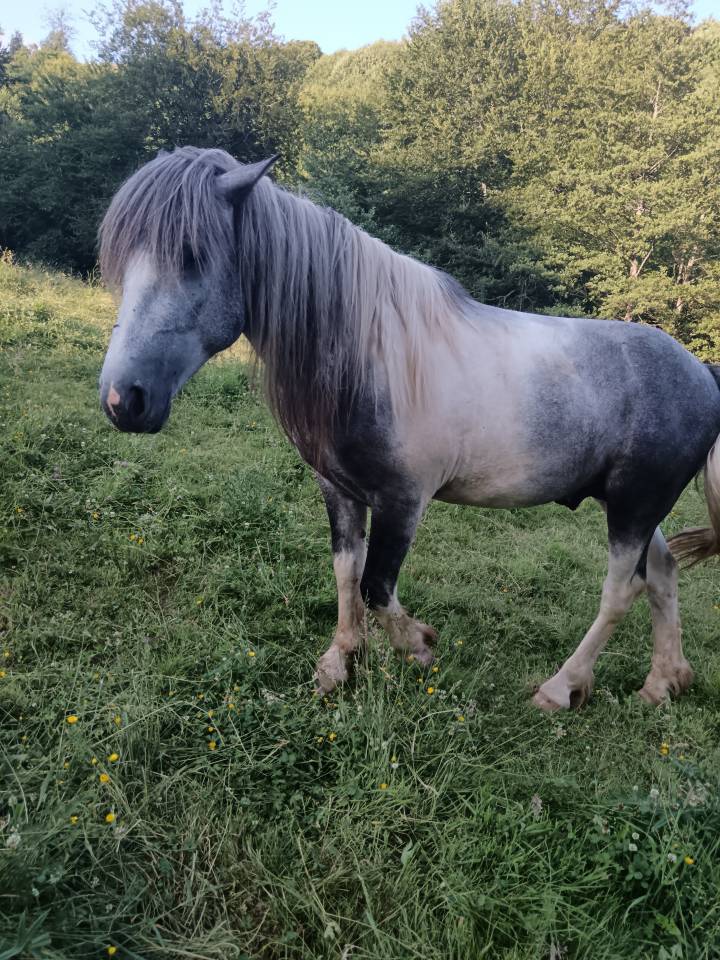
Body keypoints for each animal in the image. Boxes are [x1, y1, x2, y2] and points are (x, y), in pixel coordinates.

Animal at [98, 146, 720, 711]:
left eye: (192, 255)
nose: (123, 400)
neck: (373, 355)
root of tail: (701, 371)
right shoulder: (340, 490)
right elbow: (346, 572)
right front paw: (340, 661)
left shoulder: (404, 499)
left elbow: (376, 586)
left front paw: (418, 645)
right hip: (630, 503)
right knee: (662, 572)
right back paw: (664, 682)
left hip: (633, 505)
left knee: (622, 589)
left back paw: (561, 687)